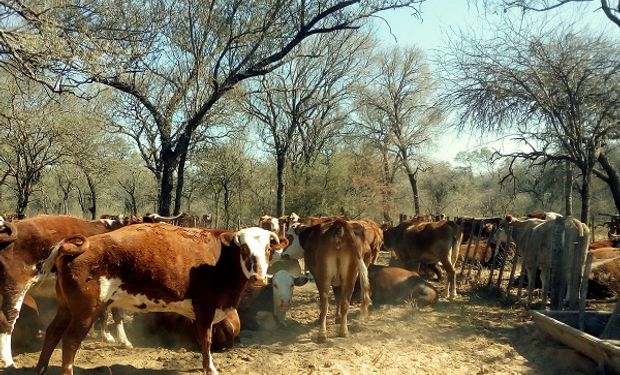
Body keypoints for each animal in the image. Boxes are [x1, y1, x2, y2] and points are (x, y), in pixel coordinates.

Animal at [34, 223, 276, 375]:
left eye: (267, 249)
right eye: (243, 248)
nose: (258, 277)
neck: (219, 260)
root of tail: (75, 247)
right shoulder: (205, 308)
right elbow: (205, 340)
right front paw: (210, 368)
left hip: (66, 307)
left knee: (53, 332)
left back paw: (40, 368)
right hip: (85, 311)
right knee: (70, 340)